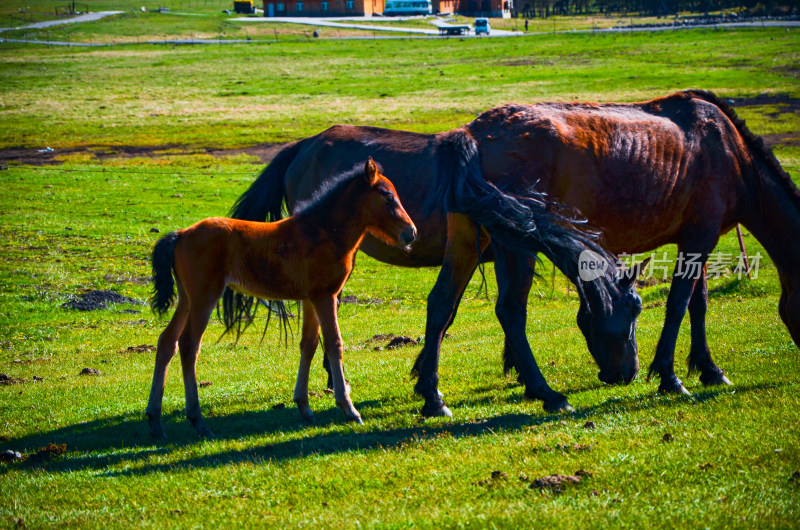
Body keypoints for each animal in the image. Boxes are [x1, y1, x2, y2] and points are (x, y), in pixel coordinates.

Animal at [148, 158, 418, 438]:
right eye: (388, 197)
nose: (411, 232)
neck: (324, 232)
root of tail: (181, 234)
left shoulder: (310, 299)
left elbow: (309, 344)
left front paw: (304, 407)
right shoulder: (325, 296)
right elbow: (334, 343)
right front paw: (348, 408)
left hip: (186, 299)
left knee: (167, 341)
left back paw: (155, 421)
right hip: (204, 296)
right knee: (188, 345)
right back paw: (198, 420)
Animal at [230, 124, 644, 412]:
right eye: (632, 310)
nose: (630, 372)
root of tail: (303, 146)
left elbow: (476, 311)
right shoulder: (490, 249)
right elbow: (467, 309)